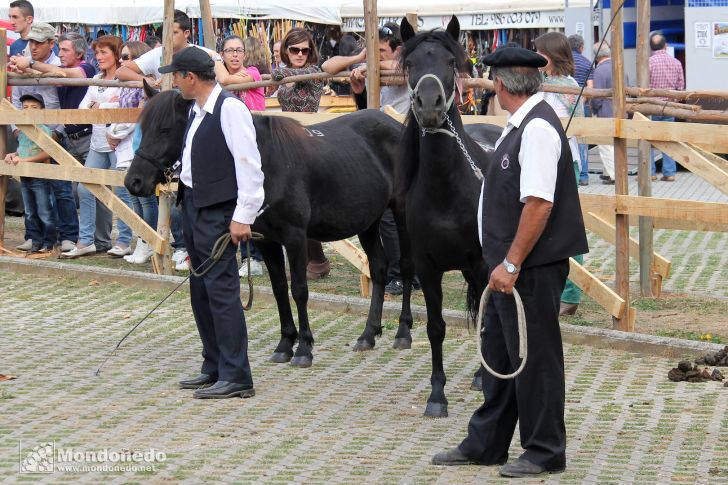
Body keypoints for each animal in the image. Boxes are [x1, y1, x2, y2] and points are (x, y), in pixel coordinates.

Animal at [125, 86, 416, 366]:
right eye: (143, 129)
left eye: (165, 129)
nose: (133, 181)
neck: (265, 162)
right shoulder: (265, 239)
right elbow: (279, 289)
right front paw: (285, 345)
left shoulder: (295, 237)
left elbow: (299, 290)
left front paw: (304, 348)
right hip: (368, 220)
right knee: (378, 268)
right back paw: (368, 334)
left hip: (401, 215)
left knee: (406, 267)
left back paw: (403, 332)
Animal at [398, 16, 500, 416]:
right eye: (410, 64)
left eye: (450, 62)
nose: (429, 104)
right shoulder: (427, 267)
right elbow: (436, 327)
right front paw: (437, 396)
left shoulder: (483, 265)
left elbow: (487, 322)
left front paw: (485, 380)